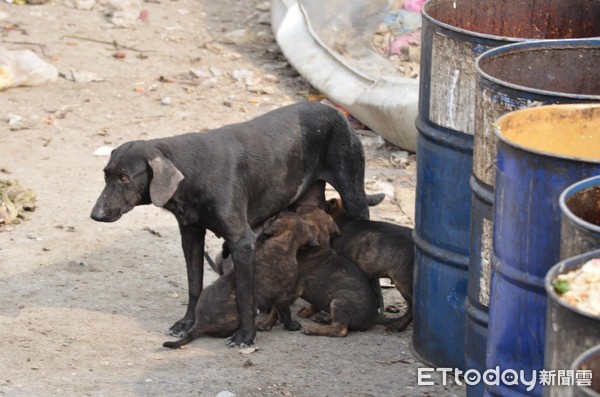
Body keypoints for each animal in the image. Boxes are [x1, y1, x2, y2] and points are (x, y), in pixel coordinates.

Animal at [162, 210, 316, 346]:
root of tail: (200, 323)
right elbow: (285, 314)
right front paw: (293, 326)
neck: (284, 242)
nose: (278, 212)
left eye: (277, 216)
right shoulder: (283, 298)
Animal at [292, 204, 378, 338]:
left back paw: (313, 329)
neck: (319, 248)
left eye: (301, 213)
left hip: (340, 301)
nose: (299, 205)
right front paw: (306, 312)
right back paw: (323, 318)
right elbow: (314, 305)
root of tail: (374, 318)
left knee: (340, 329)